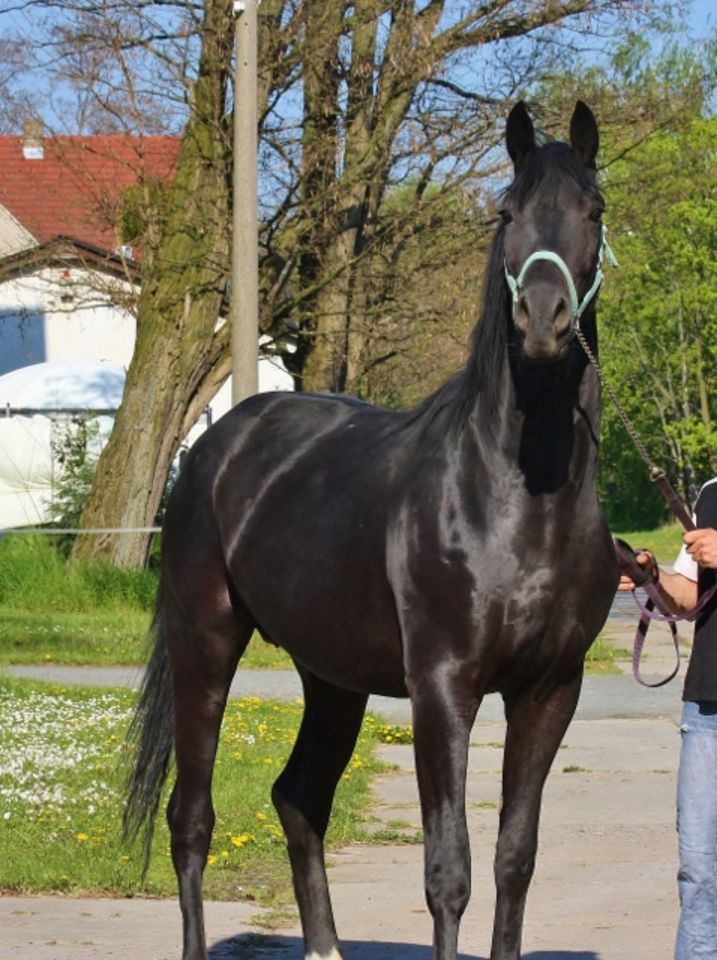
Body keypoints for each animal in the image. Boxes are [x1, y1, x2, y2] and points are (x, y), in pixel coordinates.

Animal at [123, 101, 616, 956]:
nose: (542, 319)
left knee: (297, 796)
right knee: (191, 818)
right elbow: (447, 869)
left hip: (332, 676)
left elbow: (513, 859)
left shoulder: (551, 689)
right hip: (204, 645)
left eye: (592, 210)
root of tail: (215, 446)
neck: (520, 499)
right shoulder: (442, 687)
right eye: (506, 212)